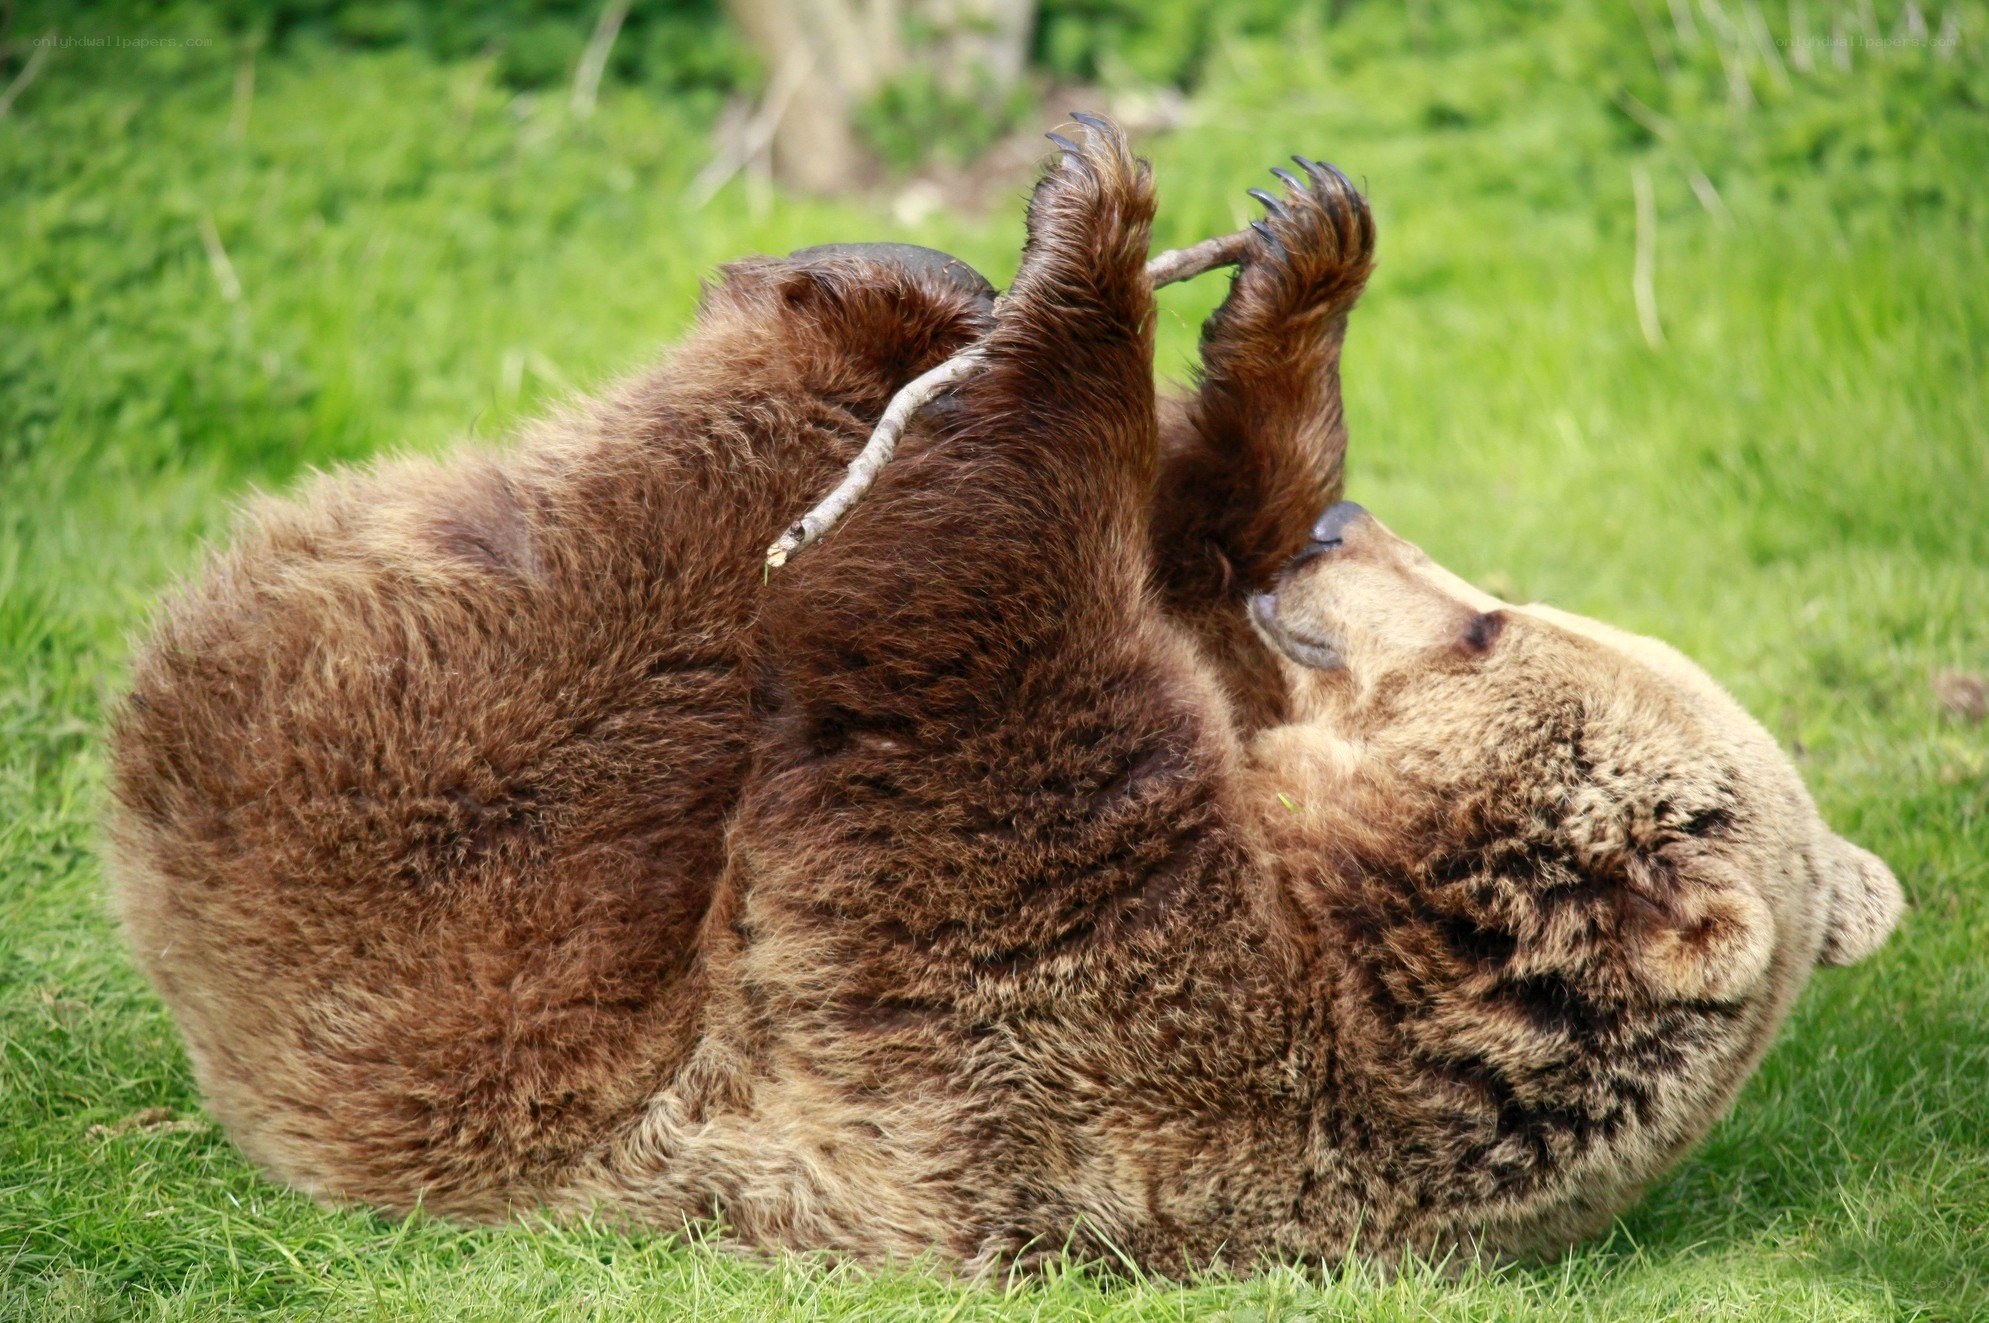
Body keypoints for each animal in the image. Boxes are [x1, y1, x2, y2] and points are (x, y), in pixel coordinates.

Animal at [105, 117, 1901, 1274]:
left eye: (1485, 625)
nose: (1341, 534)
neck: (1358, 907)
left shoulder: (1075, 1001)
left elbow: (965, 630)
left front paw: (1095, 236)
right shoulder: (1230, 753)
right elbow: (1179, 565)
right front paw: (1294, 265)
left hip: (445, 888)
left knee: (638, 588)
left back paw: (869, 297)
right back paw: (897, 274)